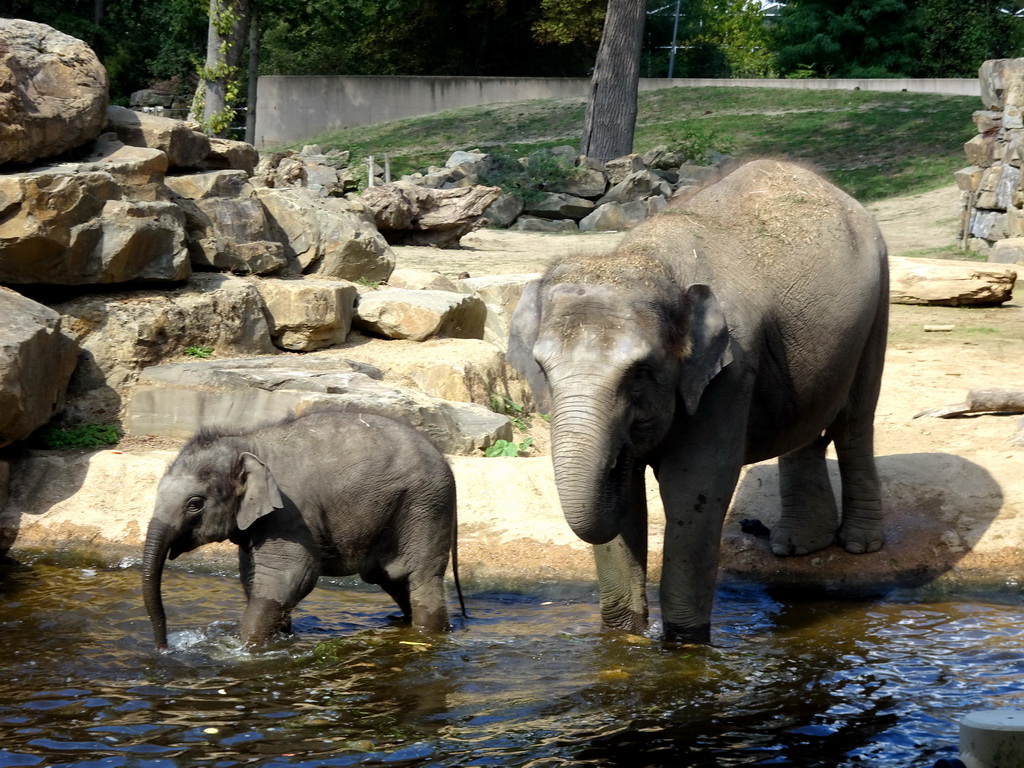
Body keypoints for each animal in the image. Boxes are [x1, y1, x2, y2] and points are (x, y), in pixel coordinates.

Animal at [141, 409, 464, 651]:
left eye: (194, 504)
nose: (163, 648)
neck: (247, 442)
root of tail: (445, 459)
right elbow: (252, 578)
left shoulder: (289, 513)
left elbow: (288, 579)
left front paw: (245, 649)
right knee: (393, 579)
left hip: (424, 507)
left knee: (418, 577)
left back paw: (428, 635)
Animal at [509, 160, 888, 643]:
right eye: (542, 368)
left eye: (640, 373)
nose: (620, 454)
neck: (653, 263)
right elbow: (626, 501)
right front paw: (625, 636)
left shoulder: (729, 371)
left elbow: (695, 485)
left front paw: (683, 641)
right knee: (805, 426)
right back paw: (798, 547)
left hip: (879, 298)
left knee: (856, 419)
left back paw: (859, 544)